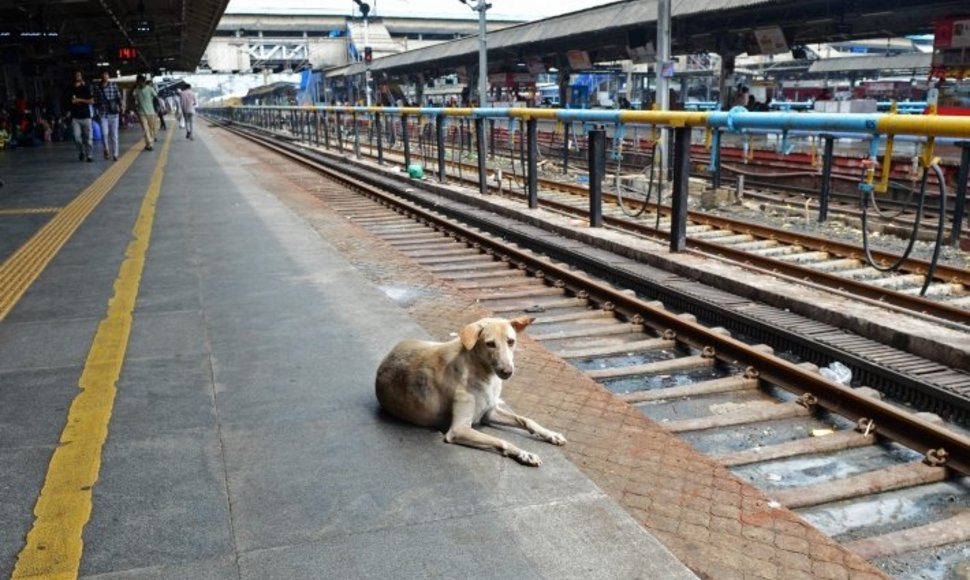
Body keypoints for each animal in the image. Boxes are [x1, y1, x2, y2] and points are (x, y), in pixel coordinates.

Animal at [374, 314, 564, 464]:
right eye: (490, 344)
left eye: (511, 341)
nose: (507, 372)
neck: (483, 374)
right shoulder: (459, 430)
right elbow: (502, 440)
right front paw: (523, 453)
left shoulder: (489, 413)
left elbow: (525, 420)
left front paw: (549, 434)